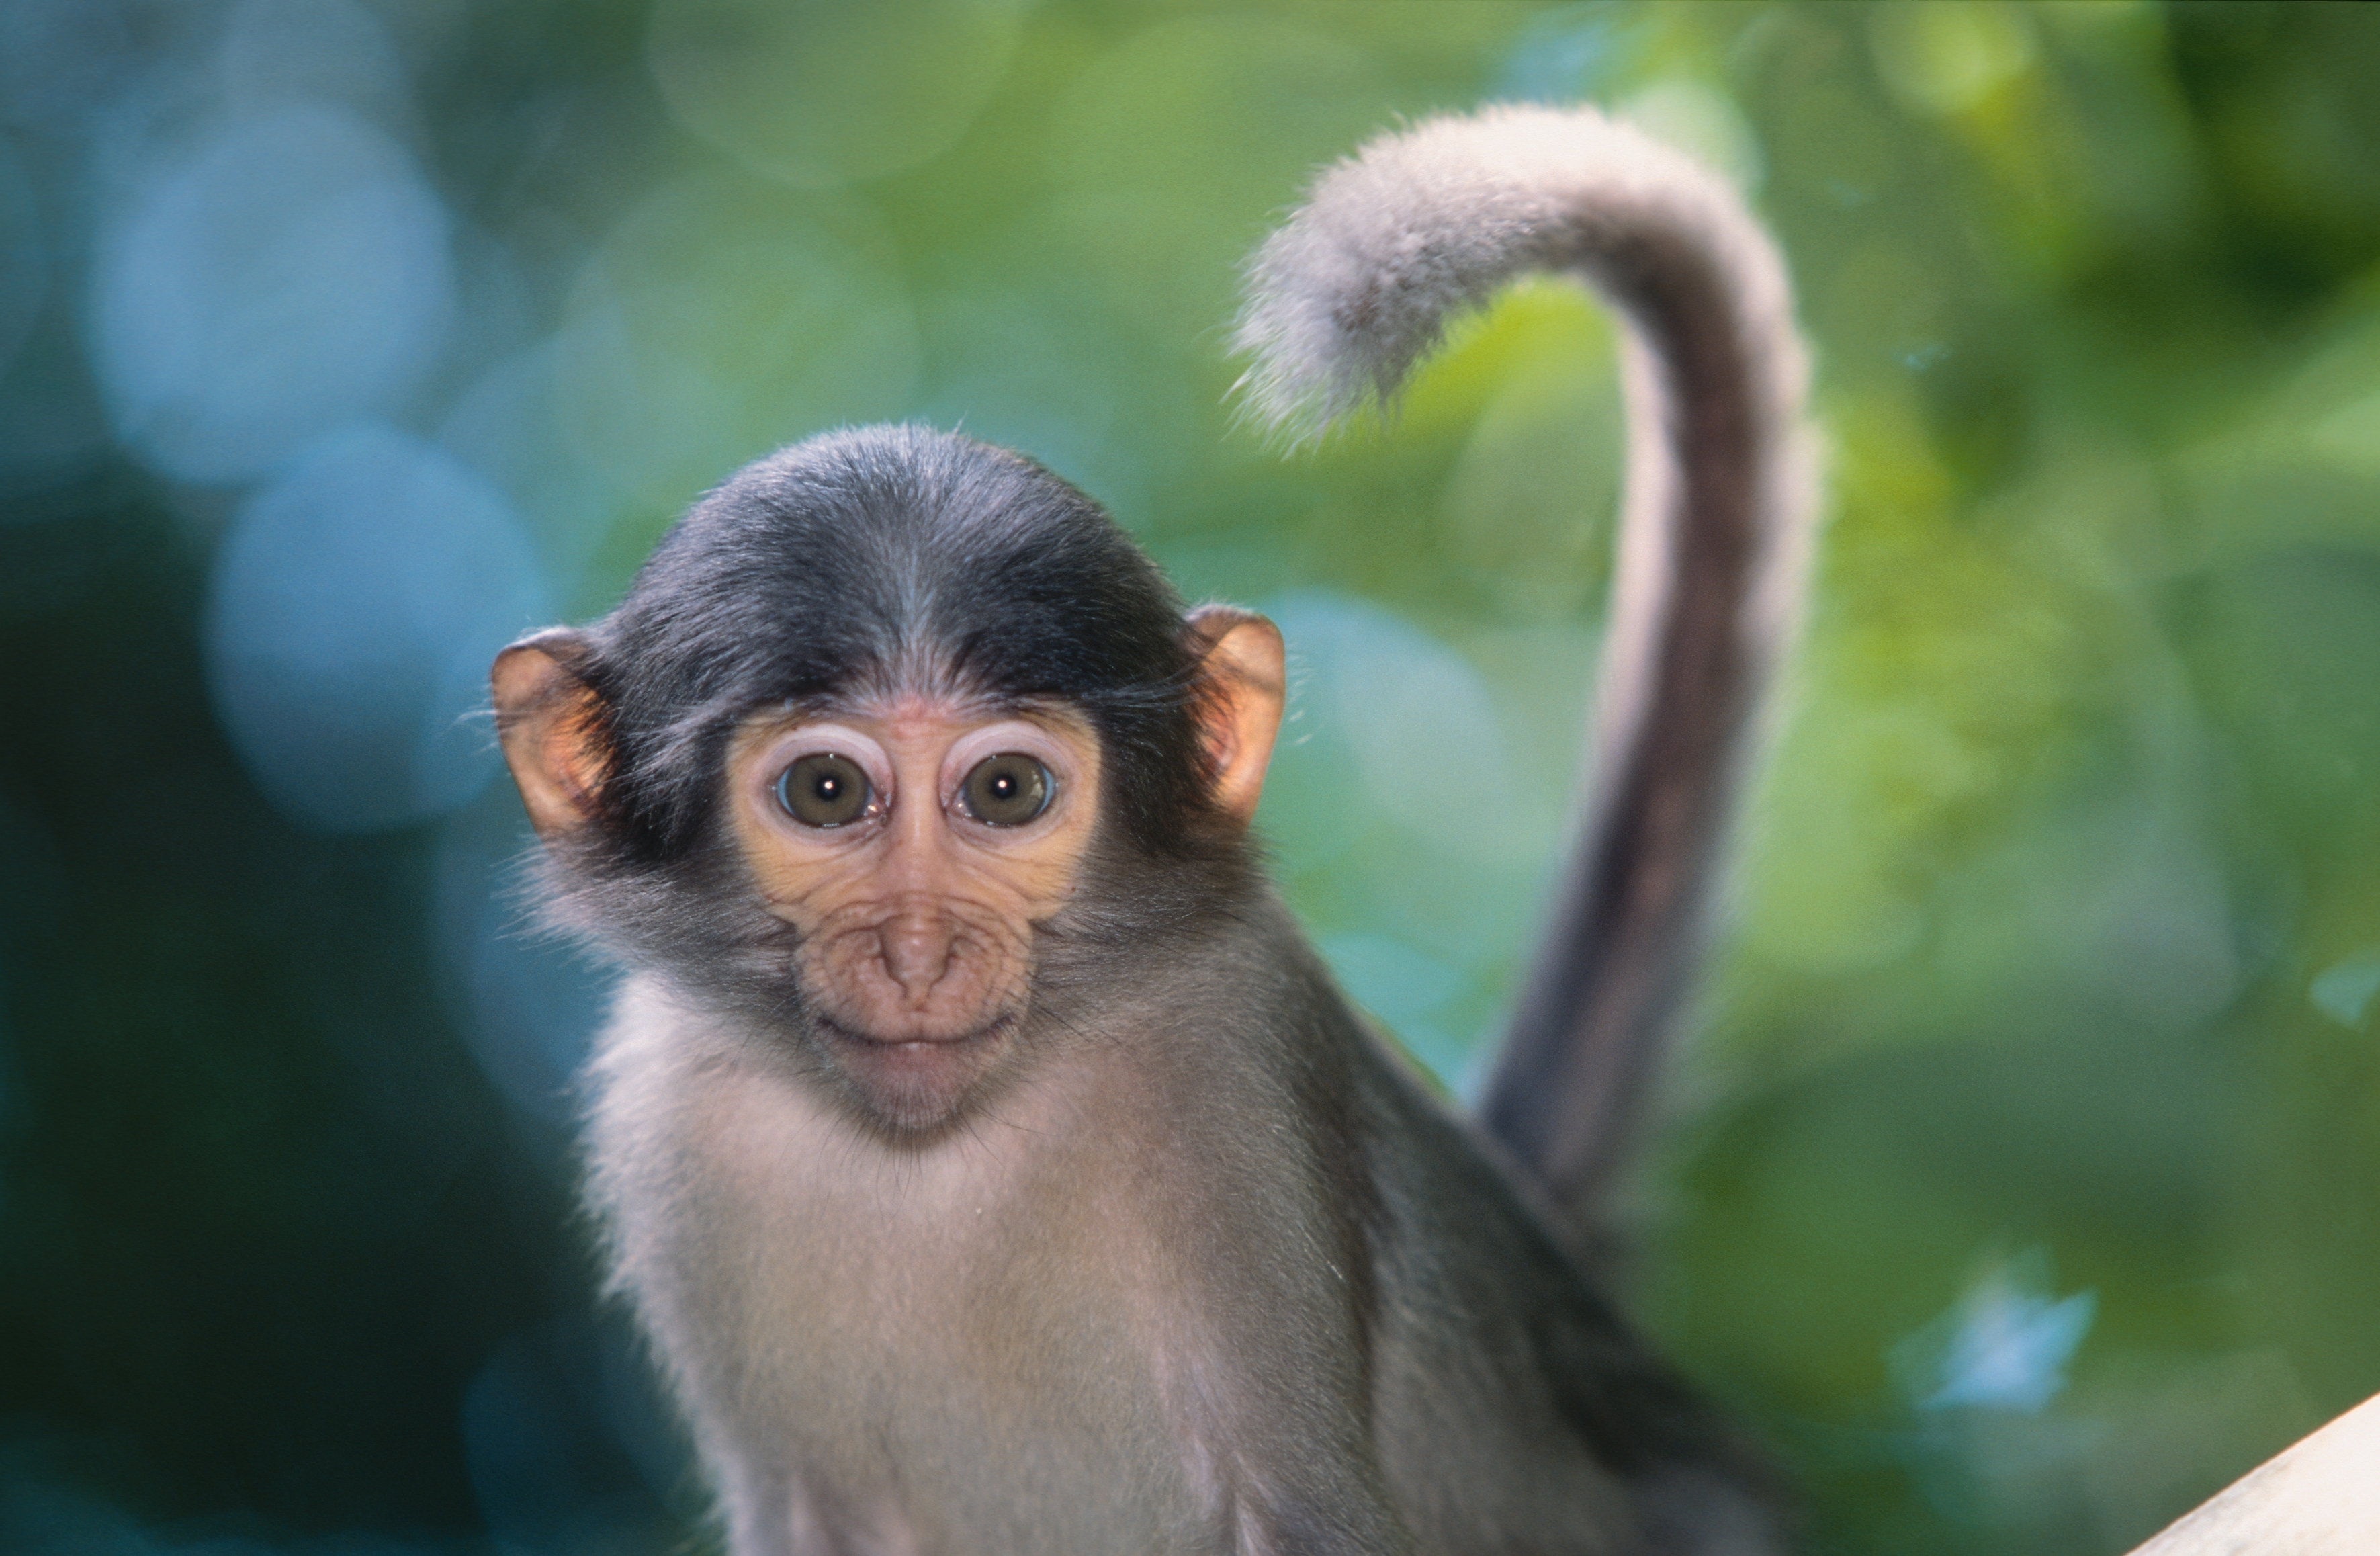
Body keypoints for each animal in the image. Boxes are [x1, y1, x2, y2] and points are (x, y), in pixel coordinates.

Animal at [492, 109, 1808, 1556]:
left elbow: (1302, 1509)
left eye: (1006, 793)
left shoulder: (1232, 1052)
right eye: (827, 793)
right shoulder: (668, 1124)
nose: (915, 956)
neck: (943, 1156)